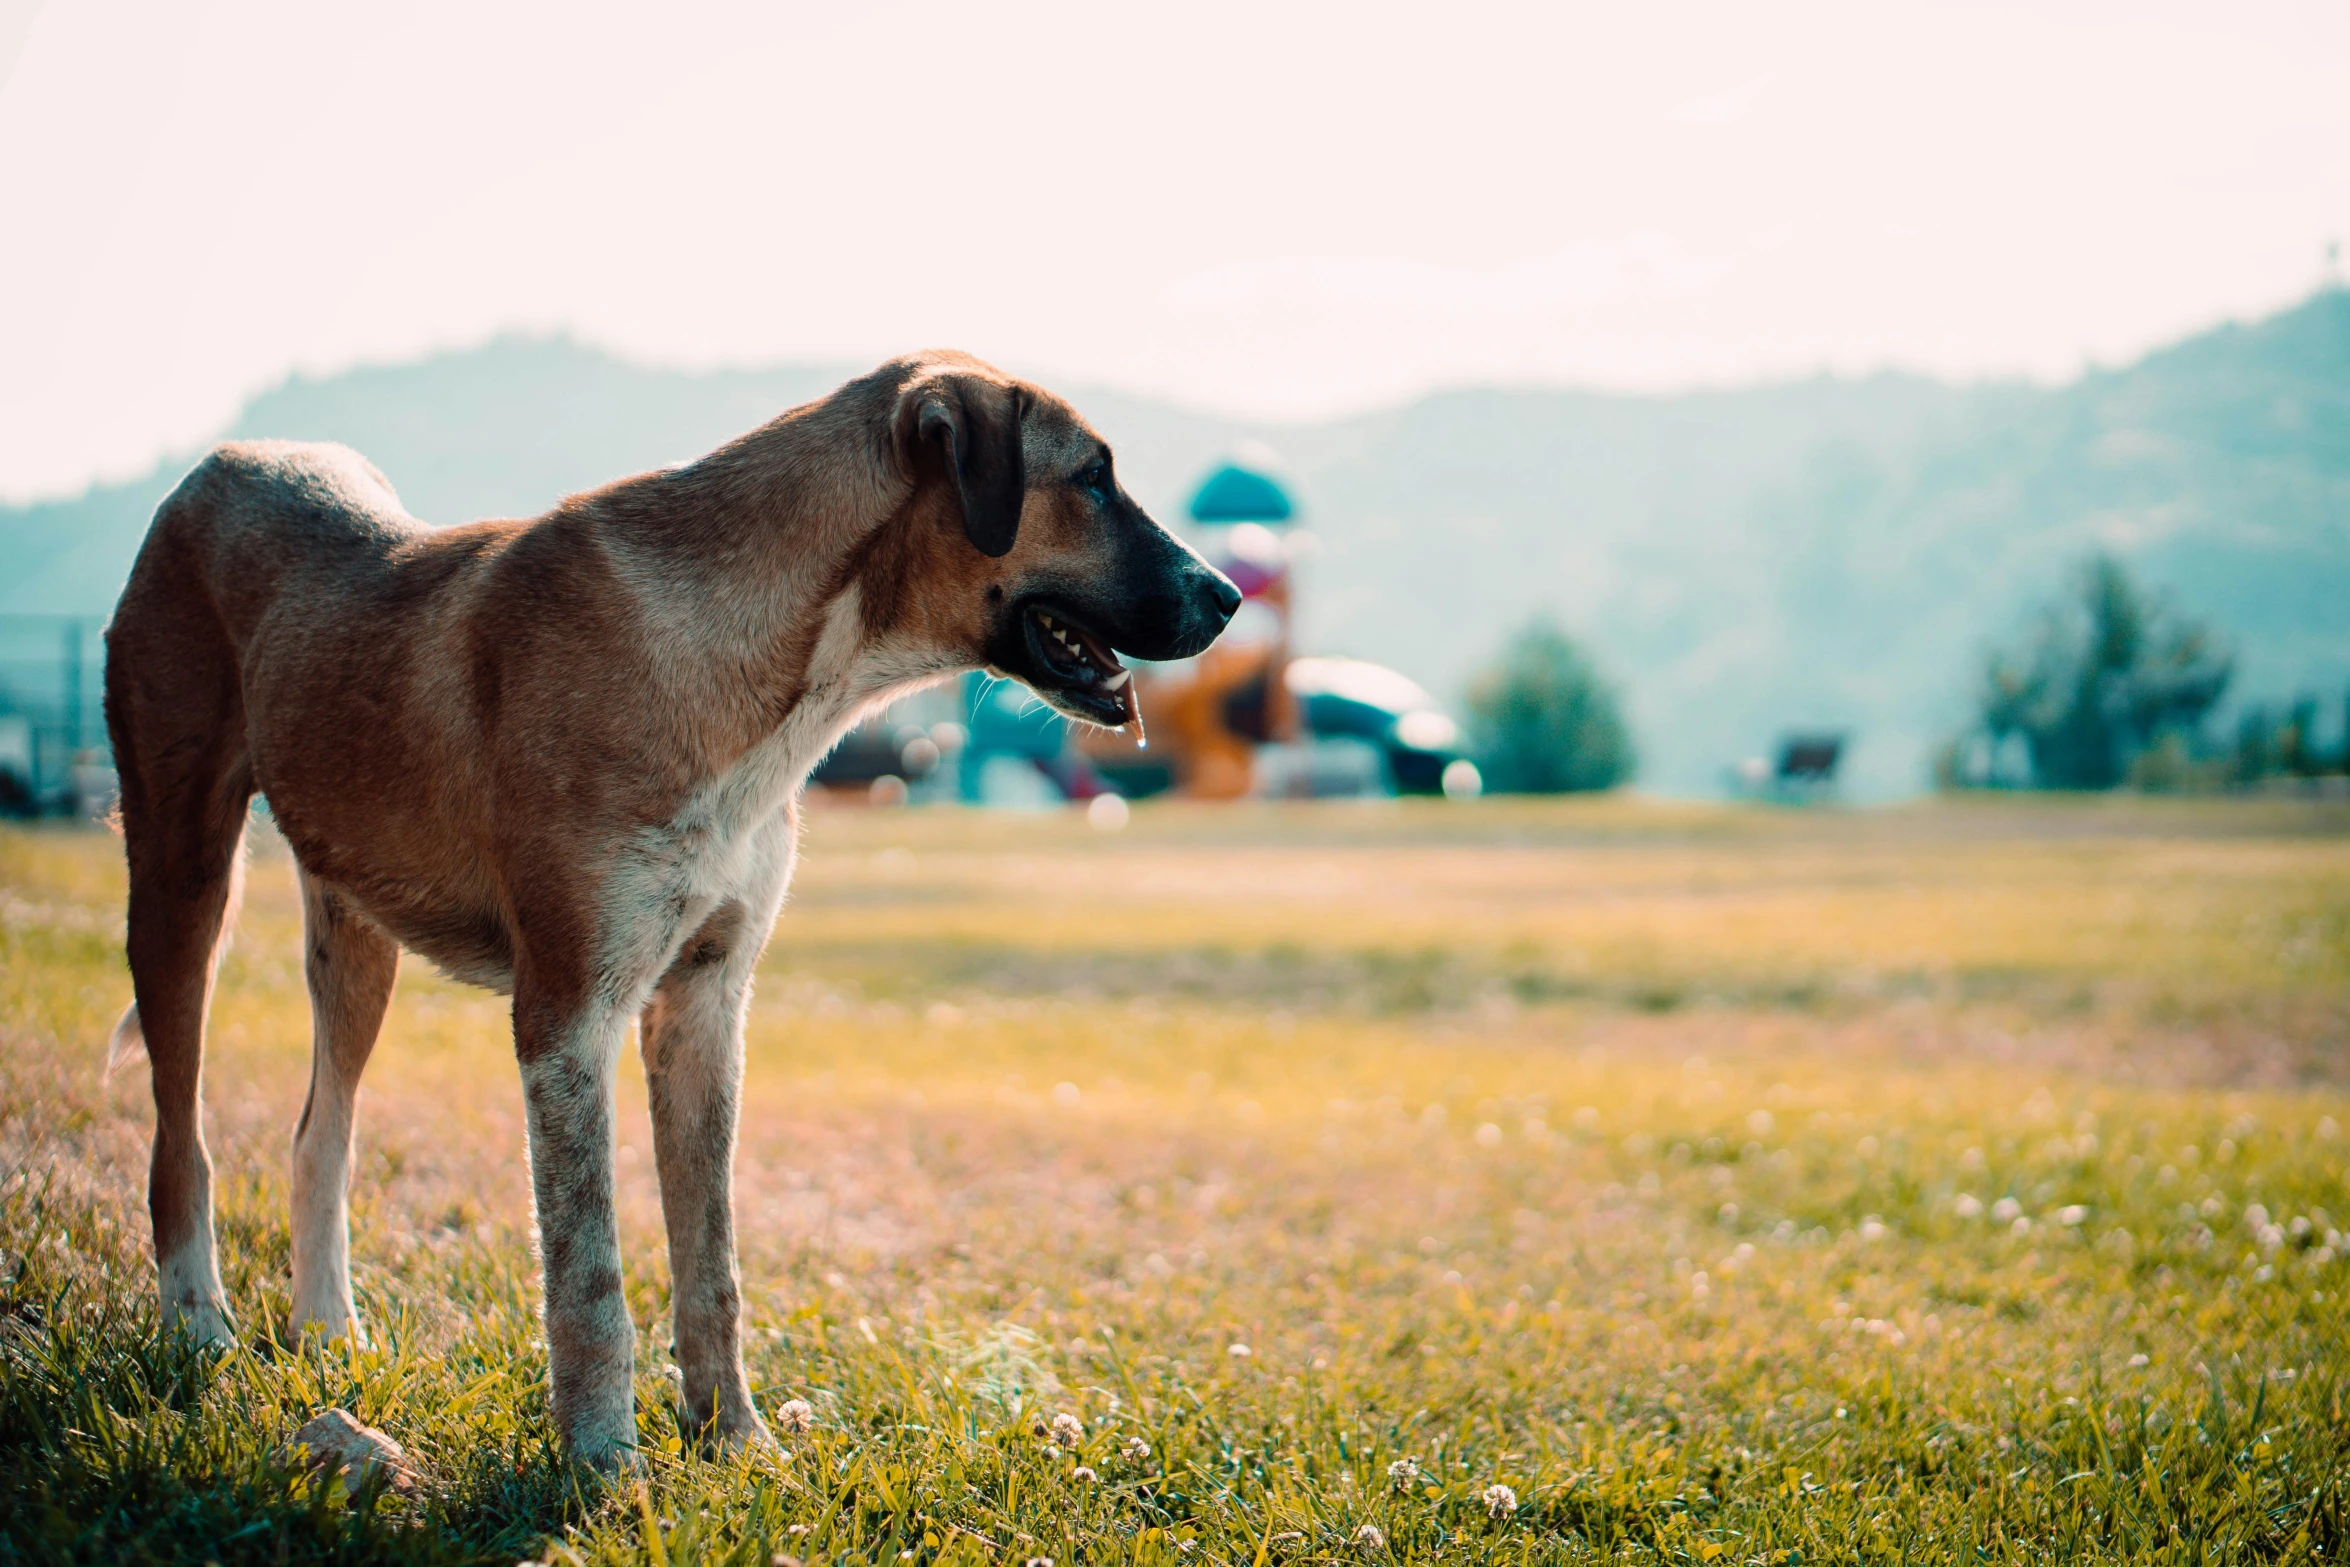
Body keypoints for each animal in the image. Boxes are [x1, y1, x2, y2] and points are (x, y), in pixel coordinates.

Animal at [101, 354, 1240, 1475]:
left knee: (317, 1137)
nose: (1228, 595)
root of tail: (223, 463)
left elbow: (711, 1263)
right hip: (181, 877)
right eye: (1092, 477)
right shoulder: (566, 1017)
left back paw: (328, 1333)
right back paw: (197, 1328)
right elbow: (590, 1276)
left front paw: (732, 1439)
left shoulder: (704, 1005)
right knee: (180, 1142)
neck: (777, 673)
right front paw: (605, 1465)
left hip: (353, 935)